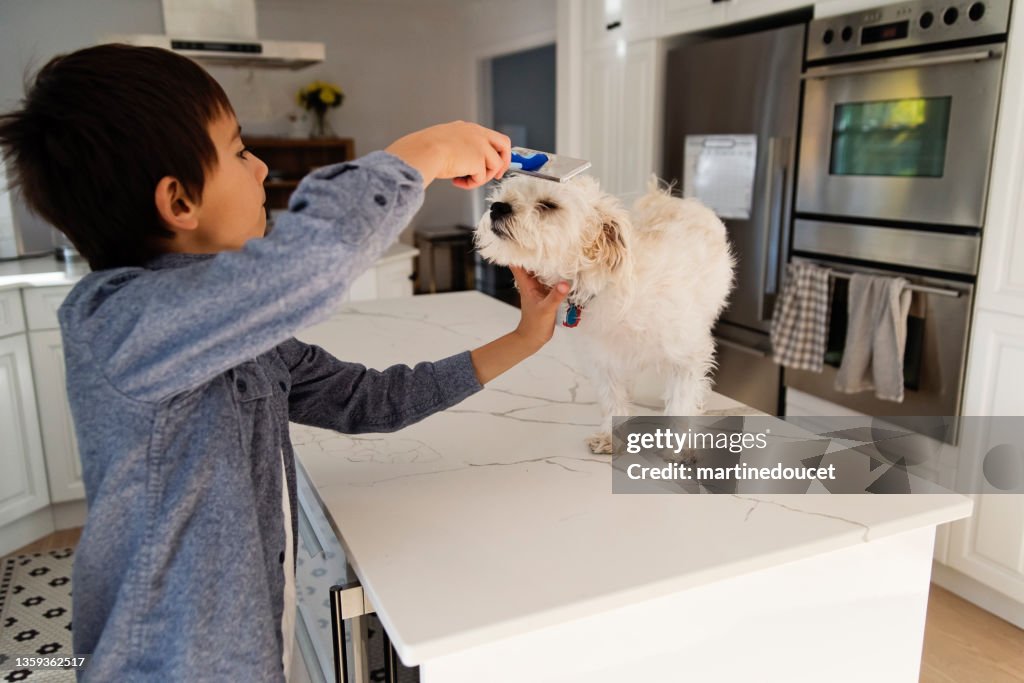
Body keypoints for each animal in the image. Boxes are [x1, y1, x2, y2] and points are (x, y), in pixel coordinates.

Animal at [475, 175, 733, 454]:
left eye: (548, 205)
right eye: (505, 194)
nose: (497, 207)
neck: (603, 284)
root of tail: (668, 197)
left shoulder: (686, 356)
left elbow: (681, 401)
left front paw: (679, 448)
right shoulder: (602, 359)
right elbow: (611, 399)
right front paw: (611, 437)